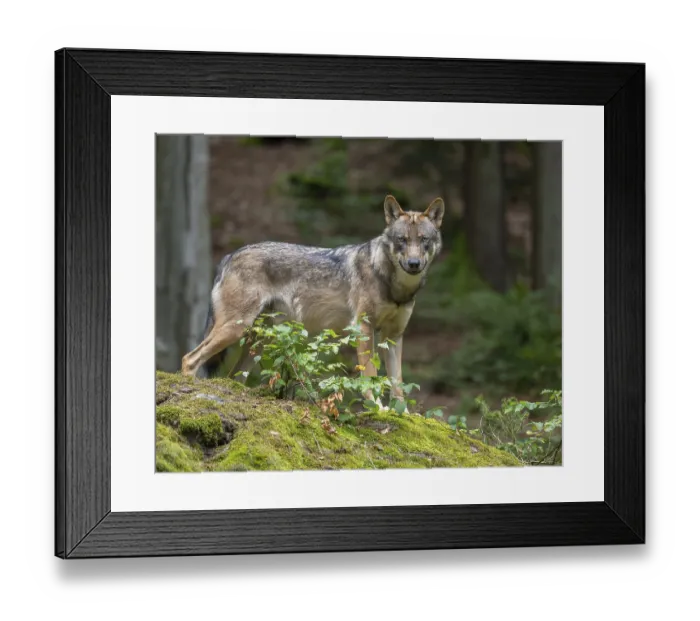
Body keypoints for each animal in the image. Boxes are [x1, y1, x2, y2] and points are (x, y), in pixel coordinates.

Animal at [181, 195, 444, 404]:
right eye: (402, 240)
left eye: (423, 240)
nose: (414, 264)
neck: (393, 284)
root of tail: (230, 255)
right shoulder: (363, 329)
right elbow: (370, 376)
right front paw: (378, 408)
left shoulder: (393, 336)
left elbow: (398, 383)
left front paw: (403, 414)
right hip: (235, 330)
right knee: (189, 359)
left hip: (257, 342)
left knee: (231, 376)